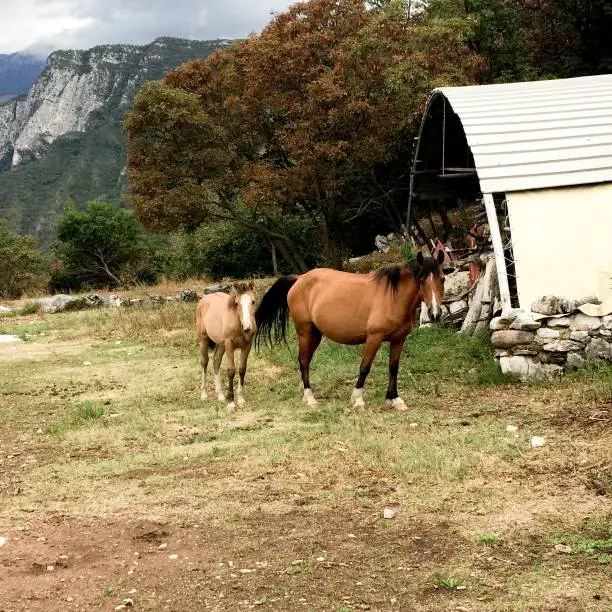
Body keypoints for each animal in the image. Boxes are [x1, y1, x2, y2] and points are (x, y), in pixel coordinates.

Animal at [255, 249, 444, 412]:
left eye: (442, 279)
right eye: (421, 279)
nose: (435, 313)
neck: (393, 296)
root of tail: (299, 278)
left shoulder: (399, 339)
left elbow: (393, 368)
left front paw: (394, 399)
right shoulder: (374, 337)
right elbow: (364, 367)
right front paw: (358, 399)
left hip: (315, 334)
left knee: (305, 361)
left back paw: (304, 392)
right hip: (305, 331)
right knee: (303, 361)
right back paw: (310, 397)